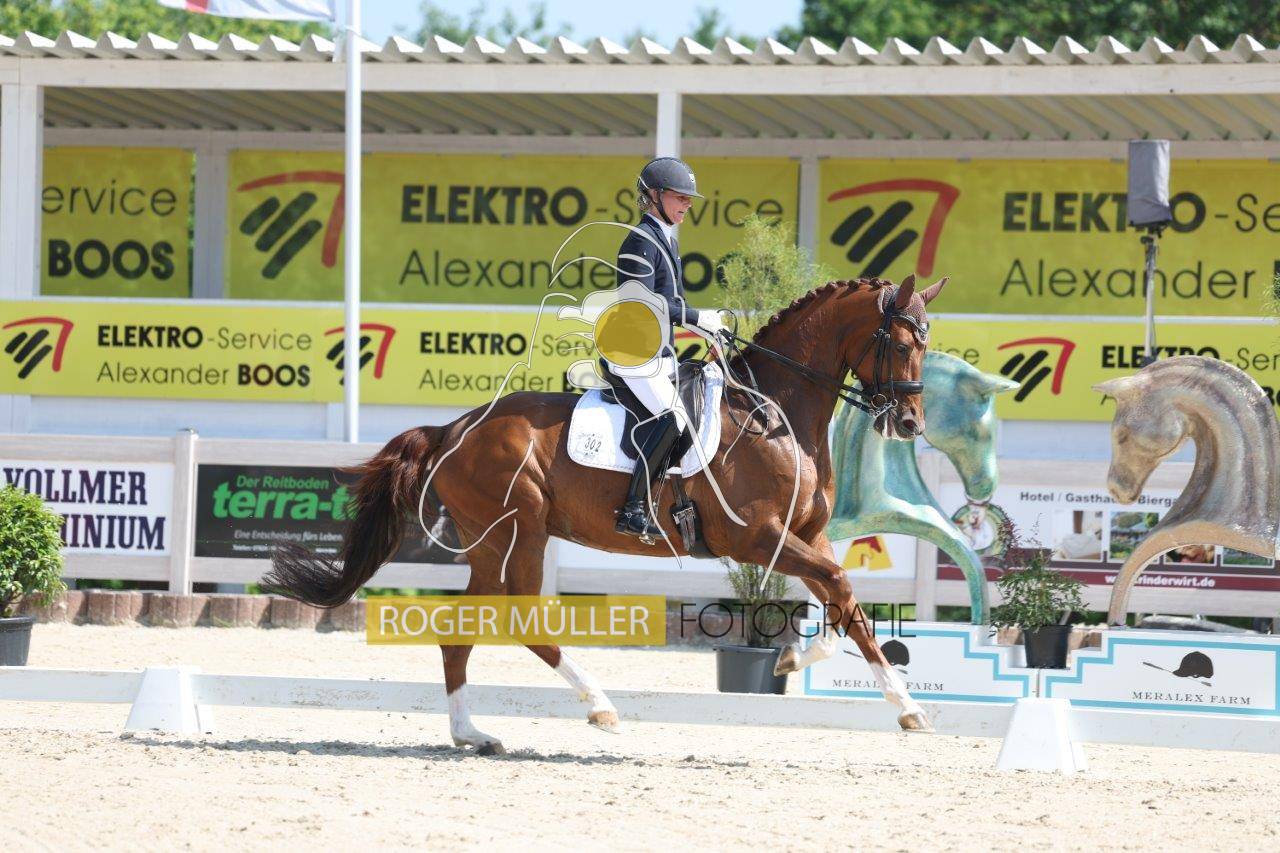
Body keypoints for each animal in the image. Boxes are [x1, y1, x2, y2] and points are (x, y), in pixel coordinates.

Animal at [265, 275, 947, 754]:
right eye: (899, 343)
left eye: (927, 343)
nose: (910, 423)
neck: (774, 409)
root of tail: (454, 428)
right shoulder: (755, 537)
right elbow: (840, 587)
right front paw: (881, 695)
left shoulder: (805, 535)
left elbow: (845, 604)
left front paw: (879, 695)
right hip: (520, 529)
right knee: (520, 617)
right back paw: (599, 706)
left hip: (492, 541)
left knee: (465, 627)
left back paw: (472, 734)